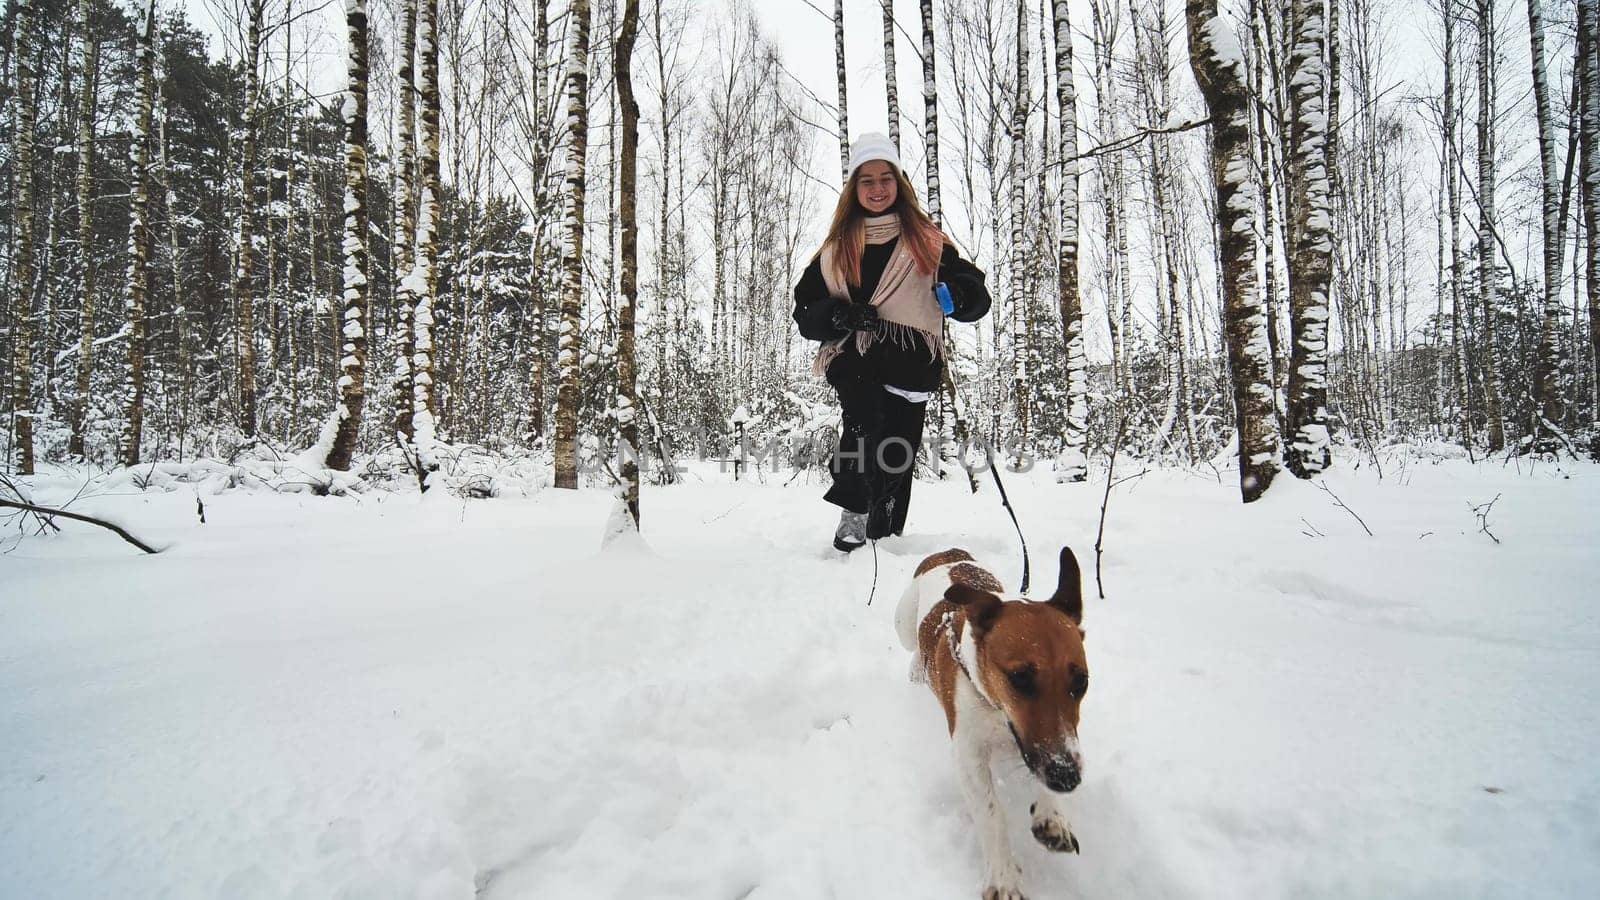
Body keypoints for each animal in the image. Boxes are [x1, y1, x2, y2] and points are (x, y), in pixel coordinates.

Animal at [902, 544, 1088, 890]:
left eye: (1081, 681)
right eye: (1020, 678)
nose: (1067, 777)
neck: (997, 710)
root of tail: (948, 551)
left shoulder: (1047, 743)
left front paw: (1052, 814)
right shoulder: (968, 753)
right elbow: (992, 813)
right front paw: (1003, 877)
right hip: (904, 621)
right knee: (912, 646)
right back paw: (917, 668)